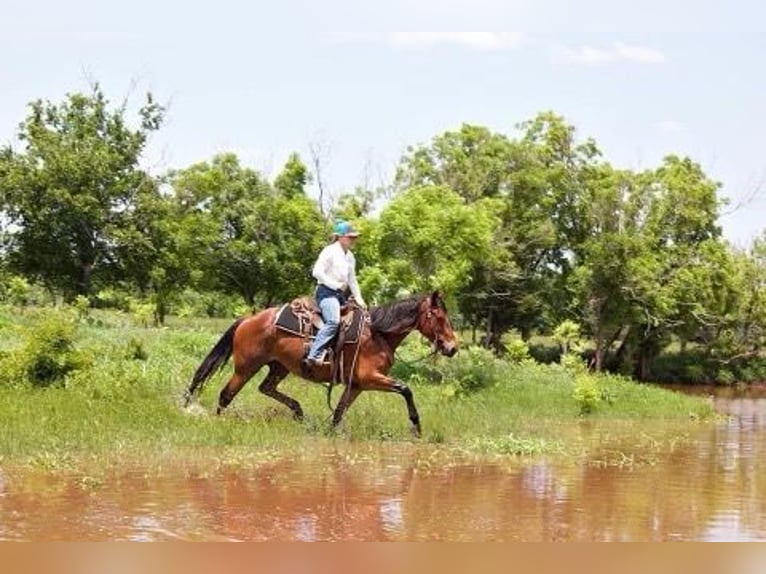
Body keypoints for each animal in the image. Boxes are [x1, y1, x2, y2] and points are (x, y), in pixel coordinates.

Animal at [184, 292, 462, 436]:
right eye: (438, 316)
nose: (452, 347)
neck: (377, 333)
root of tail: (248, 320)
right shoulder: (371, 378)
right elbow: (405, 389)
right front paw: (416, 426)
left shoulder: (357, 385)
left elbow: (339, 412)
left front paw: (331, 432)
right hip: (245, 368)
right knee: (226, 395)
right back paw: (219, 424)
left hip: (279, 367)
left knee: (266, 388)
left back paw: (298, 412)